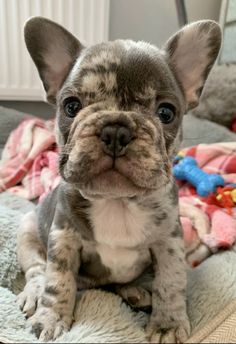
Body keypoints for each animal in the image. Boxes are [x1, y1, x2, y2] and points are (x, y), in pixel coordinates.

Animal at [17, 16, 221, 344]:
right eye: (71, 106)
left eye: (166, 112)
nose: (115, 129)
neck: (118, 201)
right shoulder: (63, 239)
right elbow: (57, 281)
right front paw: (51, 318)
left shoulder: (169, 243)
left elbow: (171, 282)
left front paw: (167, 324)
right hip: (27, 228)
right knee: (36, 269)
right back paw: (34, 294)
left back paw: (136, 292)